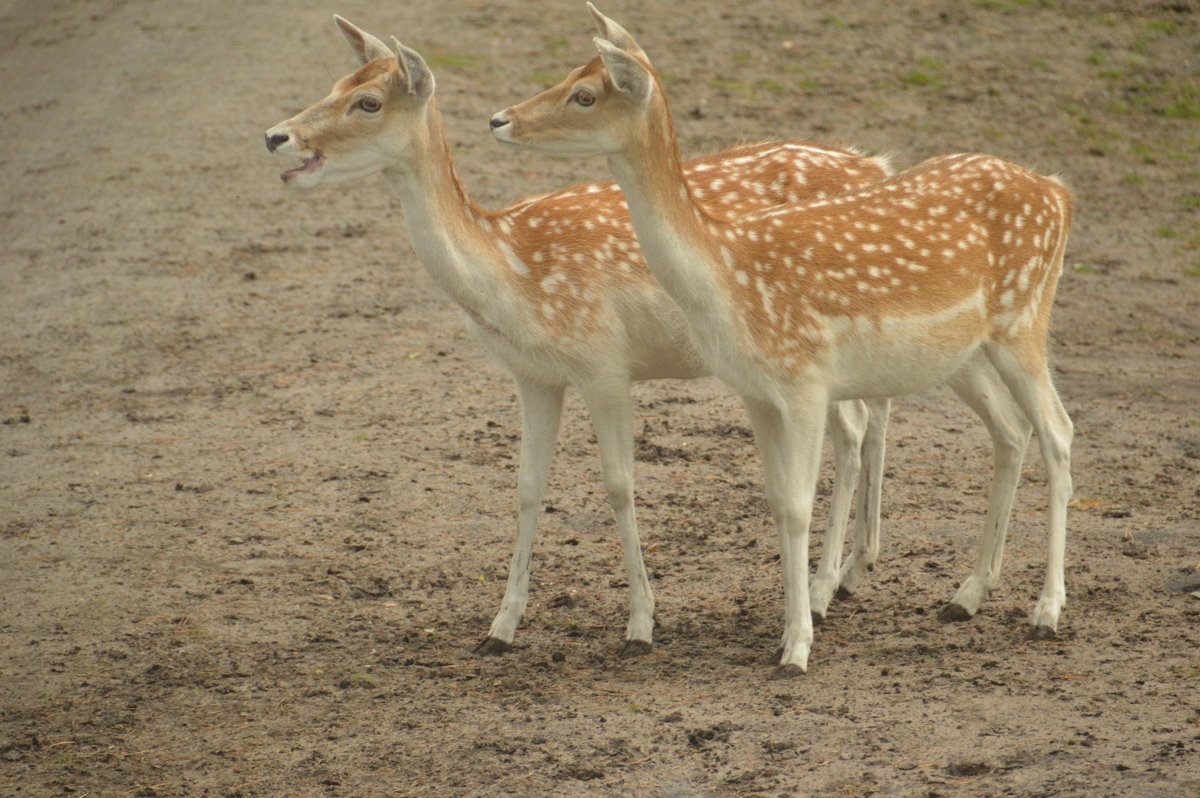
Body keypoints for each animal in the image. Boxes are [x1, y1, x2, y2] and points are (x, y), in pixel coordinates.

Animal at [265, 17, 902, 652]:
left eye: (369, 102)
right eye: (336, 82)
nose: (275, 135)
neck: (512, 275)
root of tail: (878, 166)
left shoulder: (603, 362)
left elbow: (619, 485)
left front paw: (641, 624)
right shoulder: (533, 376)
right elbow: (526, 485)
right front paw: (501, 626)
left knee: (852, 427)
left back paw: (822, 591)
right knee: (867, 417)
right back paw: (851, 572)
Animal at [492, 6, 1075, 672]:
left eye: (585, 94)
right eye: (568, 74)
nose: (500, 119)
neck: (728, 275)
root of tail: (1059, 193)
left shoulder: (805, 379)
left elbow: (798, 506)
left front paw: (797, 645)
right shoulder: (755, 391)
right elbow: (775, 501)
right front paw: (787, 629)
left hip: (1024, 321)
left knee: (1058, 432)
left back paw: (1047, 611)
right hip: (967, 353)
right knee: (1014, 432)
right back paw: (967, 595)